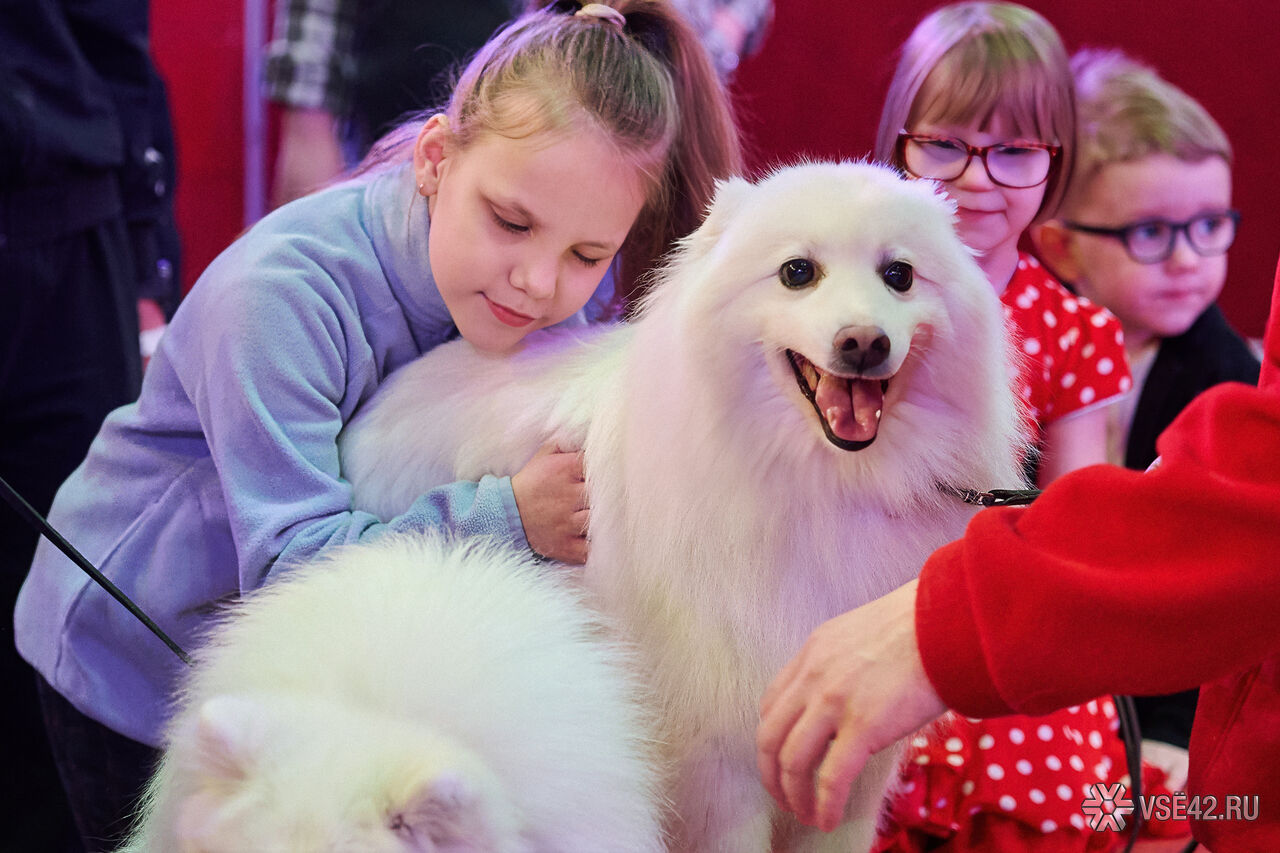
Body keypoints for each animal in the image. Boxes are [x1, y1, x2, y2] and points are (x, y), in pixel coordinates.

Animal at [336, 161, 1028, 851]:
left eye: (900, 276)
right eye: (797, 272)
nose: (864, 342)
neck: (824, 485)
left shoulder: (850, 766)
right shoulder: (720, 765)